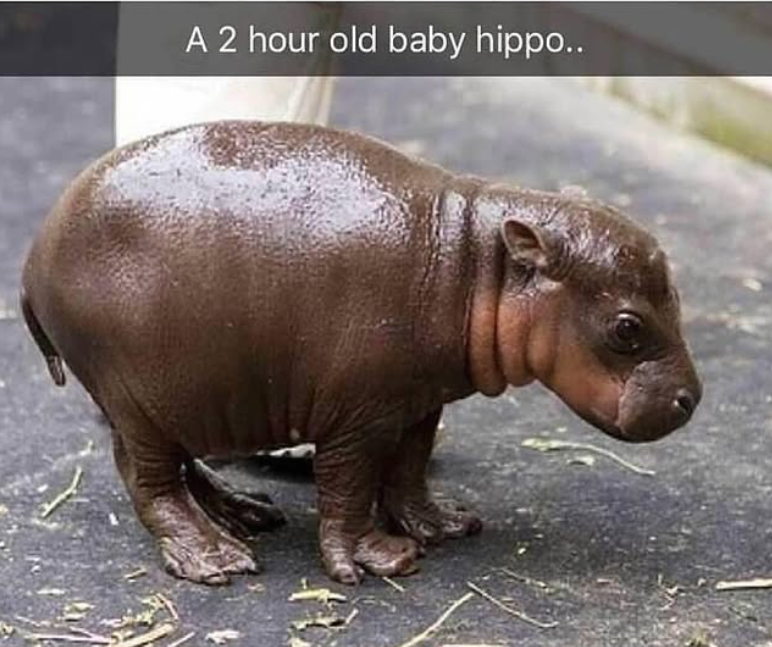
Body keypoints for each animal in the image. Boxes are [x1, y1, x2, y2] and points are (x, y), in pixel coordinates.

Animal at [20, 121, 701, 585]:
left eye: (677, 294)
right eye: (626, 326)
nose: (691, 398)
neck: (474, 260)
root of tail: (33, 259)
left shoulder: (419, 400)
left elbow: (409, 468)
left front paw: (446, 525)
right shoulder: (356, 415)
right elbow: (348, 485)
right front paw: (377, 560)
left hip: (184, 393)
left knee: (183, 466)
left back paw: (247, 513)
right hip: (137, 395)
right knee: (149, 479)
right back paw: (218, 559)